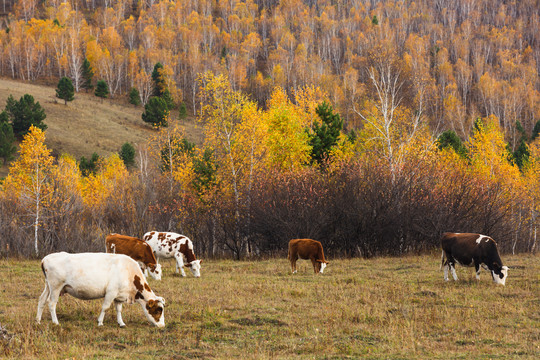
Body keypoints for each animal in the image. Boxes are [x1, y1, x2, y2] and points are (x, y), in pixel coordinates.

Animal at [36, 252, 166, 328]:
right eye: (158, 310)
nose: (162, 325)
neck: (128, 271)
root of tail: (45, 258)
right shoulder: (111, 292)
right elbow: (105, 307)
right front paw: (100, 322)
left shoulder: (119, 295)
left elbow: (119, 310)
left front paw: (121, 323)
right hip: (55, 286)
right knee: (51, 303)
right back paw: (55, 322)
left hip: (48, 286)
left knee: (42, 300)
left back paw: (38, 320)